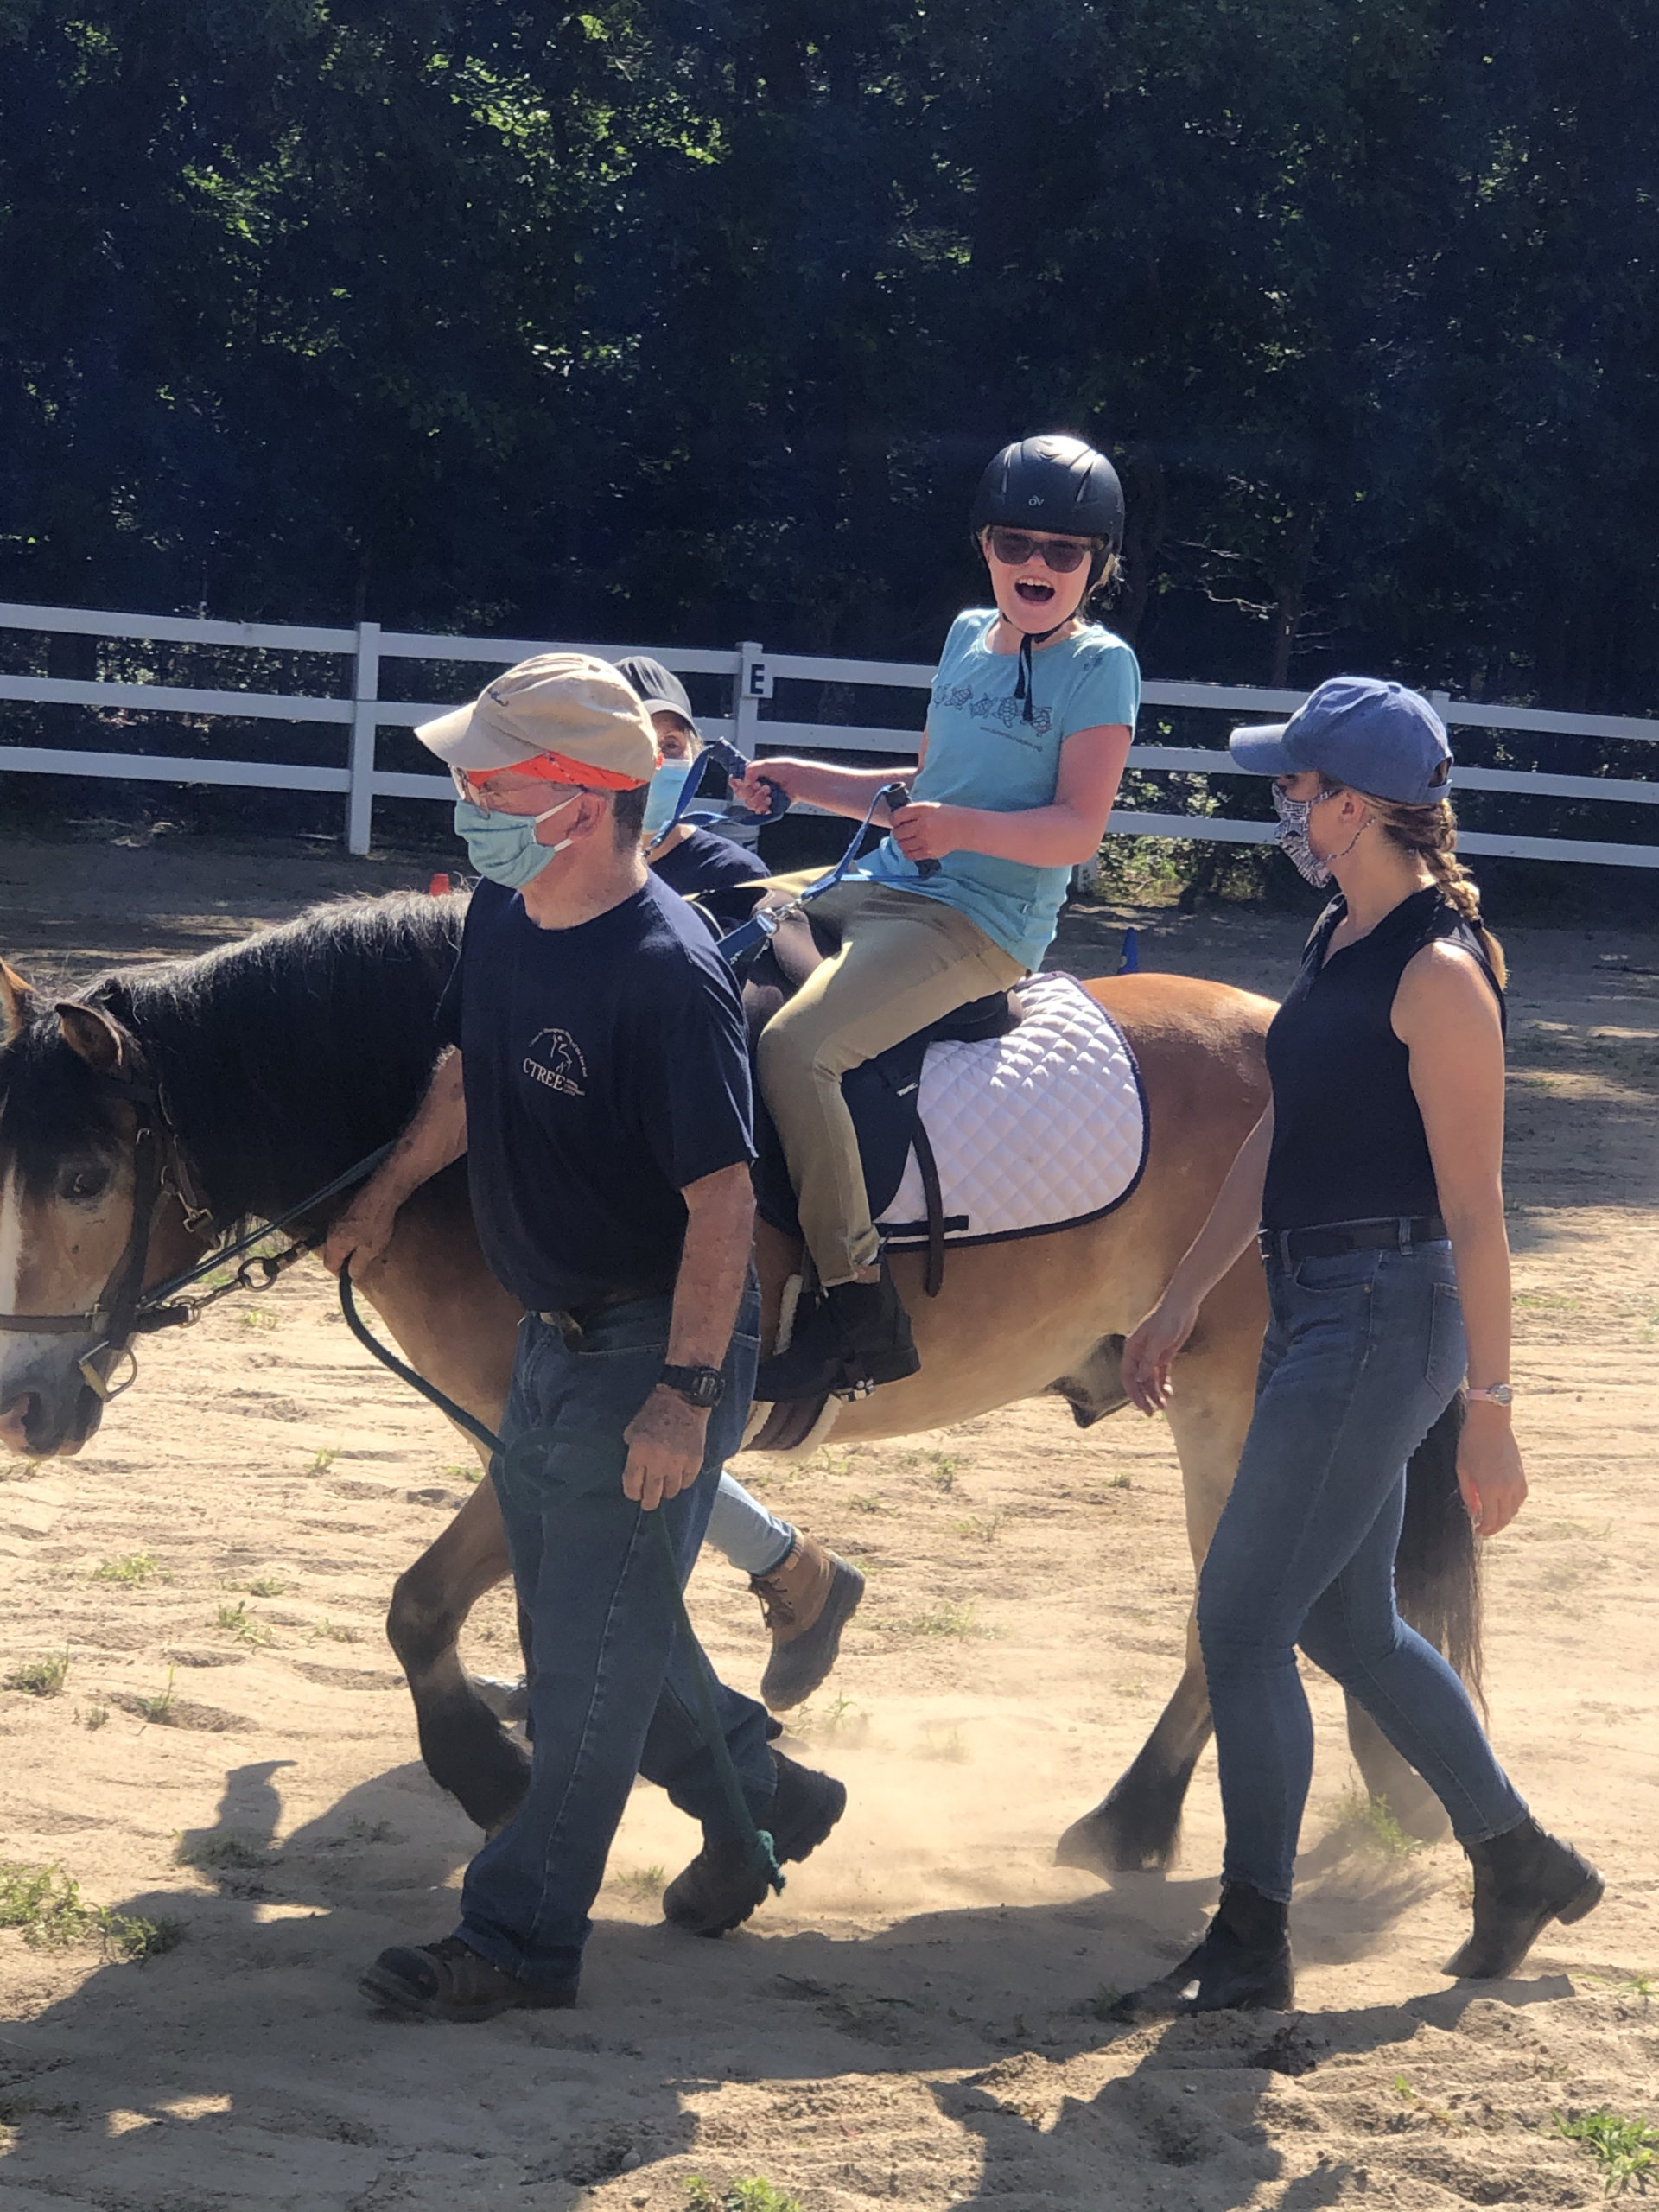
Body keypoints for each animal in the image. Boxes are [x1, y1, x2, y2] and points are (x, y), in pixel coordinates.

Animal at [0, 889, 1478, 1858]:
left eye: (82, 1179)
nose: (23, 1404)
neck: (476, 1145)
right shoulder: (524, 1424)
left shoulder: (569, 1425)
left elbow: (430, 1608)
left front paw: (502, 1775)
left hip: (1237, 1405)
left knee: (1239, 1609)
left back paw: (1134, 1818)